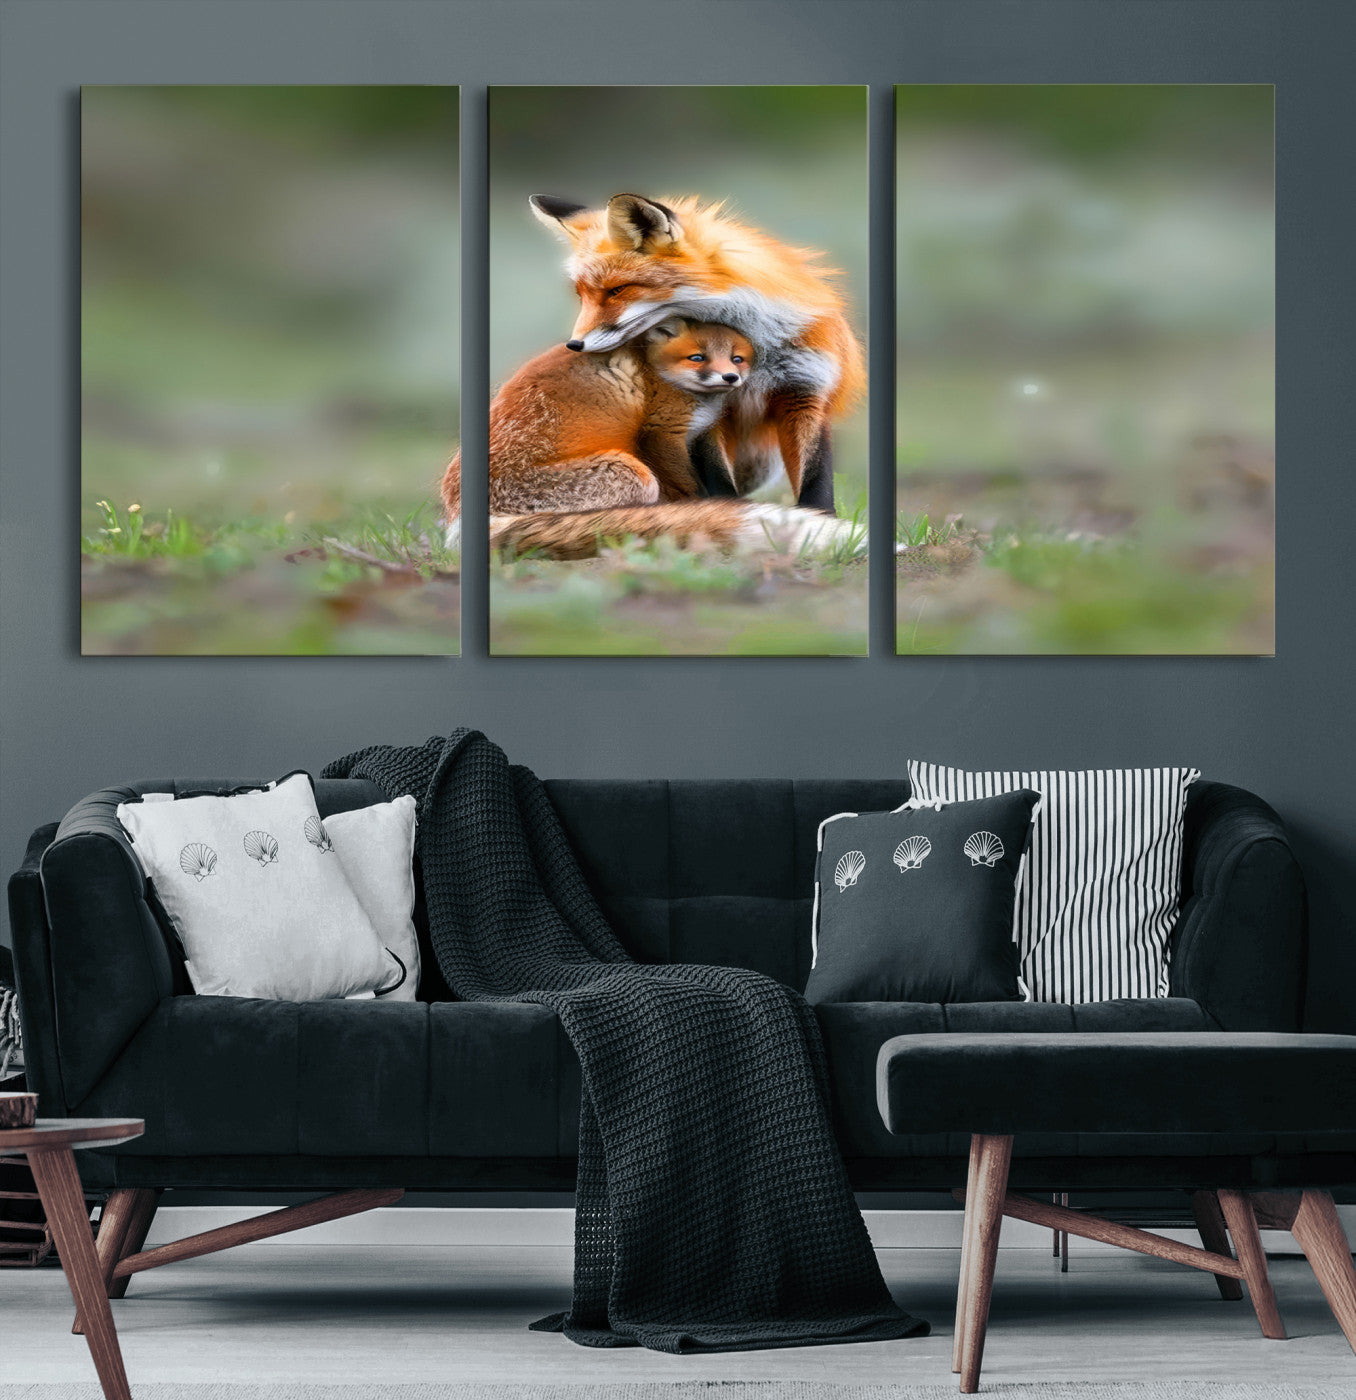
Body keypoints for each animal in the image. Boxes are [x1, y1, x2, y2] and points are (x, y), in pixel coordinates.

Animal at [529, 191, 865, 513]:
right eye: (581, 295)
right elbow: (718, 478)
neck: (758, 352)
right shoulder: (707, 409)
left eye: (617, 290)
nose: (574, 345)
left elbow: (816, 481)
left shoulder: (805, 393)